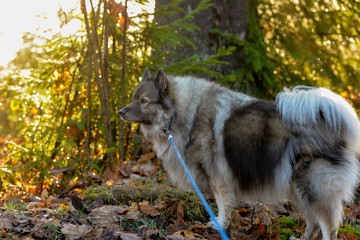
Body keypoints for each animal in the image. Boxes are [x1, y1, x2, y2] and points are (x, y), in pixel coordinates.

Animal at [121, 68, 360, 240]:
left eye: (144, 101)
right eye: (133, 98)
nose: (121, 111)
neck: (179, 112)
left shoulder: (218, 177)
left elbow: (222, 204)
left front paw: (219, 224)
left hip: (315, 187)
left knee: (328, 227)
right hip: (300, 189)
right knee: (313, 222)